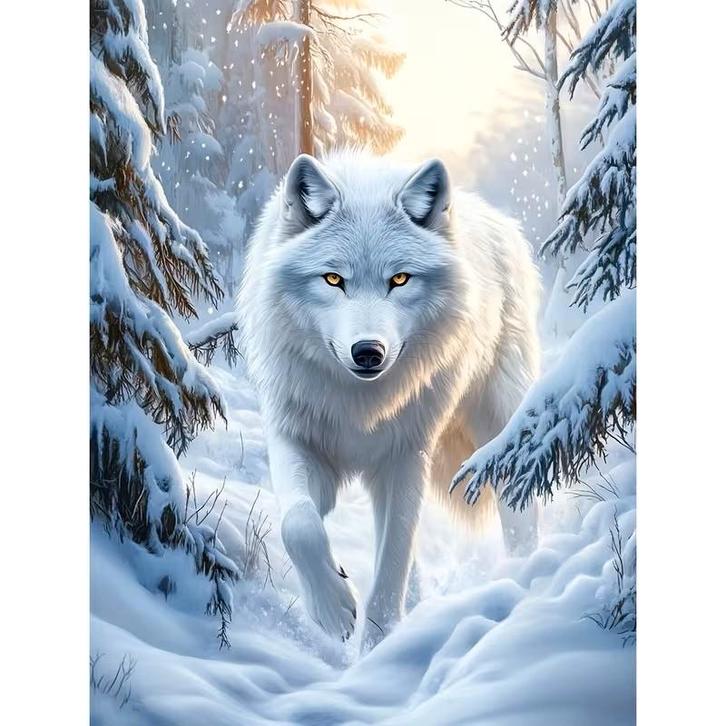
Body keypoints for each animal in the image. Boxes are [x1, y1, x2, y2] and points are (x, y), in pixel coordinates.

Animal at [238, 150, 541, 650]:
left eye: (399, 279)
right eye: (333, 279)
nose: (368, 352)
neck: (361, 404)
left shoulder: (405, 458)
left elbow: (389, 572)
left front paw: (376, 652)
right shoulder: (297, 441)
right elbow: (299, 525)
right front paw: (333, 610)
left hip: (497, 425)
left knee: (519, 507)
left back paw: (524, 576)